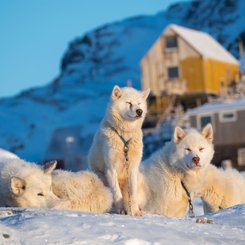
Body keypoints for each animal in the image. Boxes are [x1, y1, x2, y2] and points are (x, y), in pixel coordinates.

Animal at [88, 85, 149, 215]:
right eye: (129, 103)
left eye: (139, 104)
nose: (139, 111)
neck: (124, 137)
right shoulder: (111, 169)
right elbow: (116, 193)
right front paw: (121, 210)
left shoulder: (132, 168)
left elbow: (132, 194)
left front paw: (135, 212)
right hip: (100, 177)